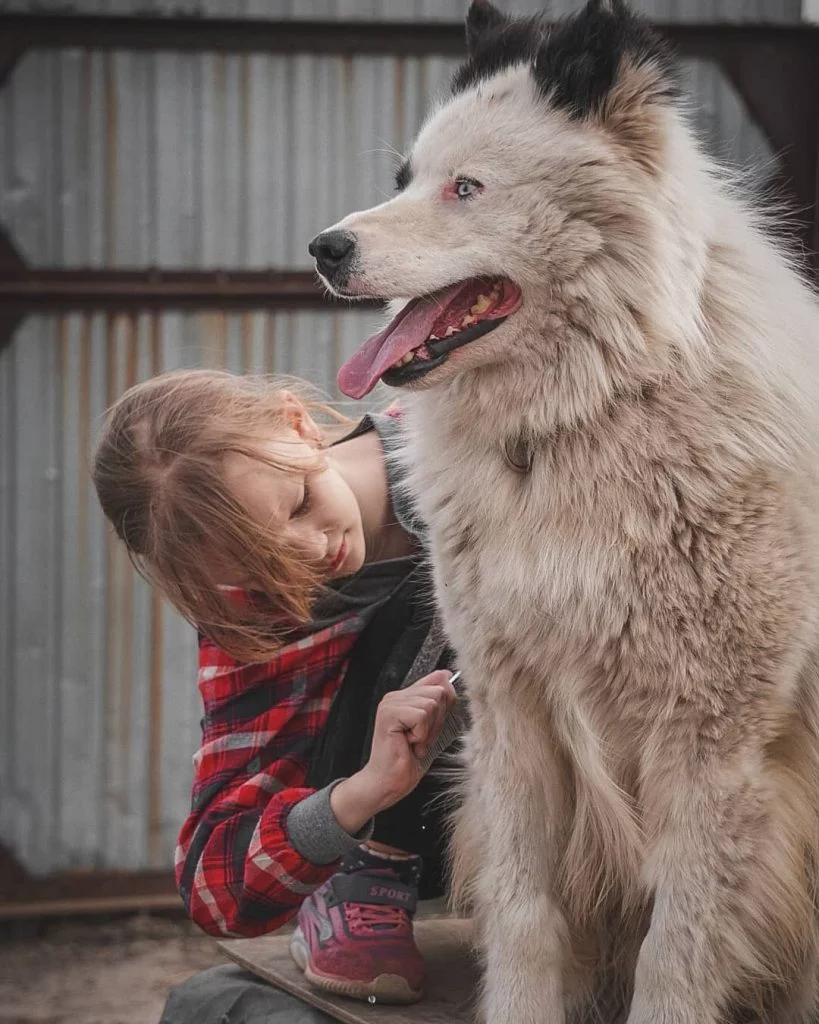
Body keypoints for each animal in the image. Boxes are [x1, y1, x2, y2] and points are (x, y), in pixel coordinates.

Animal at [311, 4, 818, 1019]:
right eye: (404, 179)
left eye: (466, 188)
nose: (324, 248)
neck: (584, 416)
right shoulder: (512, 715)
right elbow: (525, 917)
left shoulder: (715, 751)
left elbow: (677, 951)